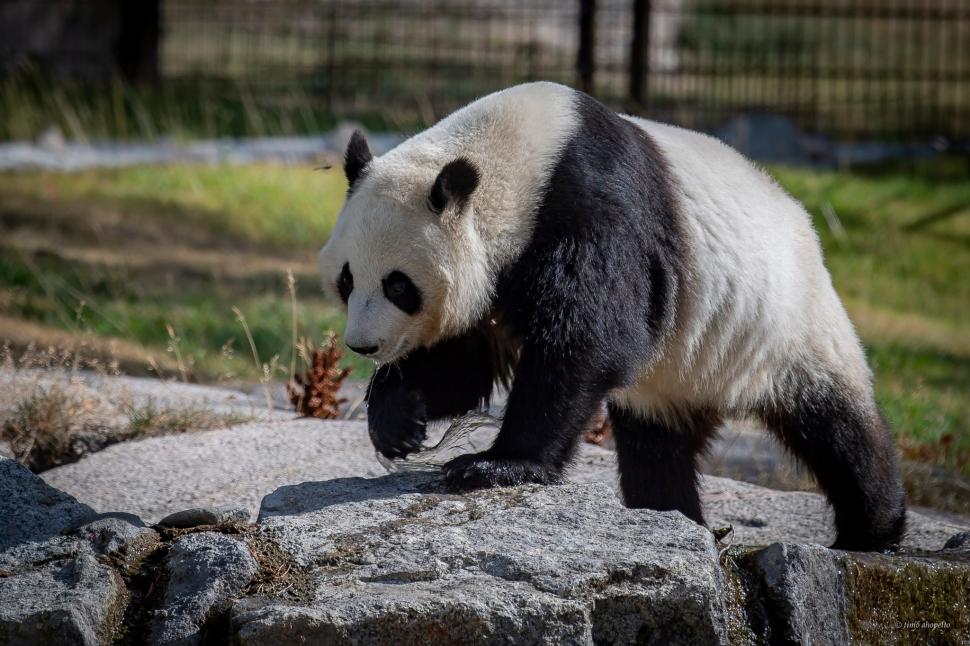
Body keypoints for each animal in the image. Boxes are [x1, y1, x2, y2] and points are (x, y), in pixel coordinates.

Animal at [319, 81, 906, 552]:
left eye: (399, 285)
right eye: (347, 280)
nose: (364, 346)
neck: (515, 162)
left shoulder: (591, 209)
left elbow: (587, 341)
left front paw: (494, 465)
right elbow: (466, 366)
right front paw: (398, 422)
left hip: (787, 321)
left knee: (838, 428)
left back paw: (873, 531)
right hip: (676, 373)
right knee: (656, 446)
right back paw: (672, 515)